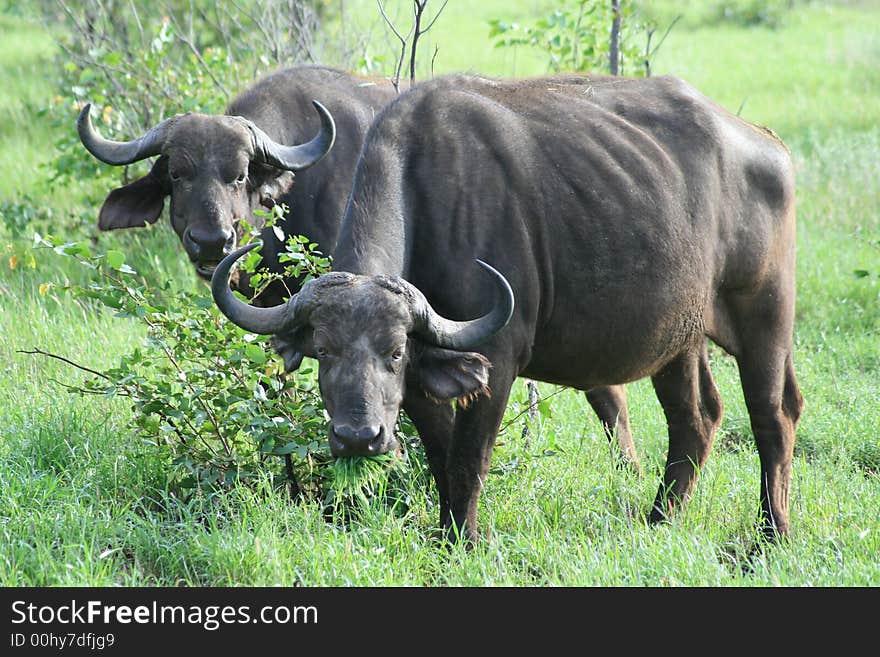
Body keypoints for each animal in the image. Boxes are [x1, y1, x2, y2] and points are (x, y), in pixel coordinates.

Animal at [215, 72, 804, 544]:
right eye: (325, 351)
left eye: (395, 351)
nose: (359, 437)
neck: (427, 193)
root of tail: (768, 146)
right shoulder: (427, 379)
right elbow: (442, 457)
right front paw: (448, 534)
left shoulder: (496, 359)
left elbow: (470, 458)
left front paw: (468, 540)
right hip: (679, 337)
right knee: (696, 418)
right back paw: (659, 519)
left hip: (765, 315)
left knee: (773, 415)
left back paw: (770, 534)